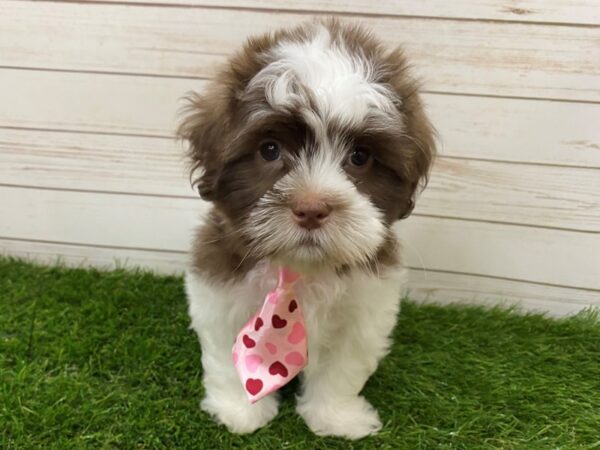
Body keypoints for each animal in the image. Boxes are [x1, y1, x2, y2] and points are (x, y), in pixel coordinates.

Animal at [178, 19, 436, 438]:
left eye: (360, 156)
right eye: (269, 150)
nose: (312, 208)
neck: (300, 270)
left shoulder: (365, 309)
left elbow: (342, 368)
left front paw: (336, 416)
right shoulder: (220, 296)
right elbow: (226, 354)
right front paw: (239, 410)